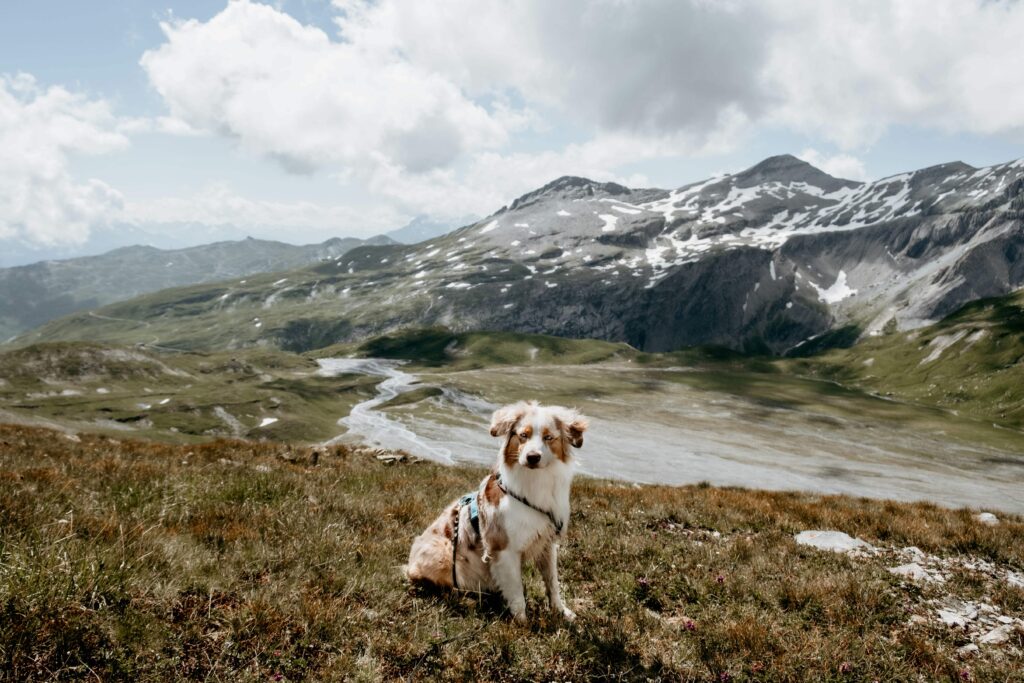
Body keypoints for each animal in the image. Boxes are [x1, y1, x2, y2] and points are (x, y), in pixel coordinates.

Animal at [403, 401, 589, 626]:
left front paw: (561, 612)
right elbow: (517, 593)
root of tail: (410, 565)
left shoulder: (547, 542)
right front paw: (522, 624)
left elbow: (552, 582)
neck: (534, 483)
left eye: (548, 437)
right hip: (444, 551)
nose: (532, 457)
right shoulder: (504, 549)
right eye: (523, 435)